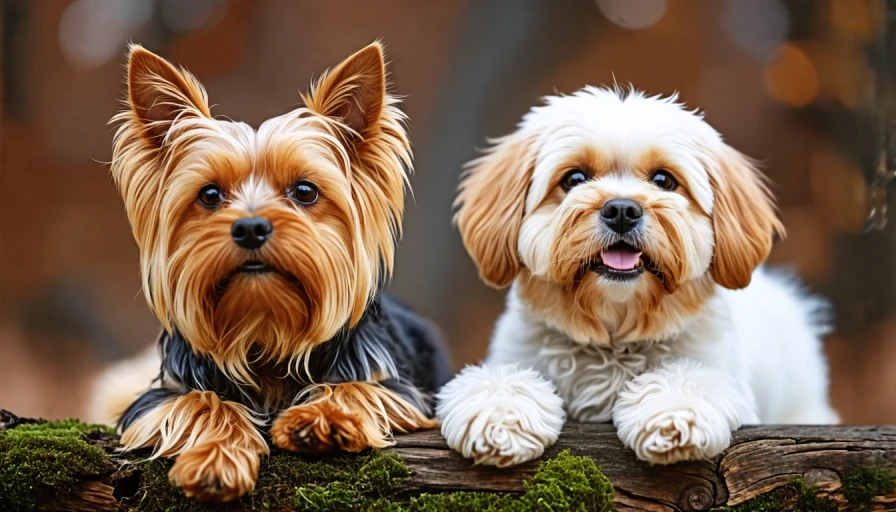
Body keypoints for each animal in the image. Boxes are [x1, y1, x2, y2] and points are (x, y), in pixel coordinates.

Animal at [438, 86, 836, 466]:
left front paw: (674, 414)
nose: (621, 209)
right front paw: (499, 415)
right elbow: (503, 382)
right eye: (574, 178)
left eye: (663, 179)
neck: (615, 335)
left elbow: (689, 381)